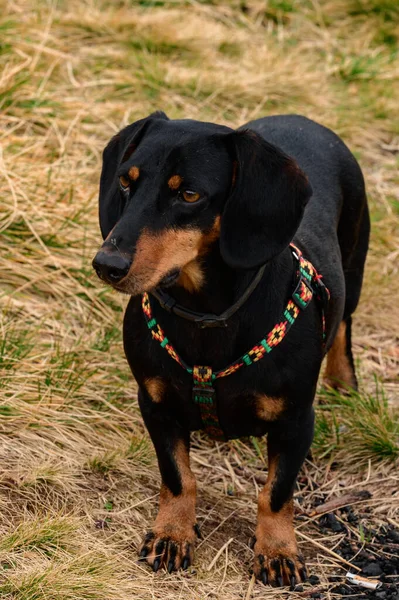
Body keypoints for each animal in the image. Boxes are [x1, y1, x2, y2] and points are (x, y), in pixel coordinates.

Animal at [92, 112, 370, 584]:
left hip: (352, 270)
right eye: (126, 182)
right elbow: (178, 477)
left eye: (189, 194)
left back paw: (344, 382)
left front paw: (278, 551)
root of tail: (302, 119)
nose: (106, 265)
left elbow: (275, 493)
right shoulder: (154, 404)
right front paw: (171, 535)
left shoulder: (296, 421)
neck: (207, 317)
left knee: (344, 326)